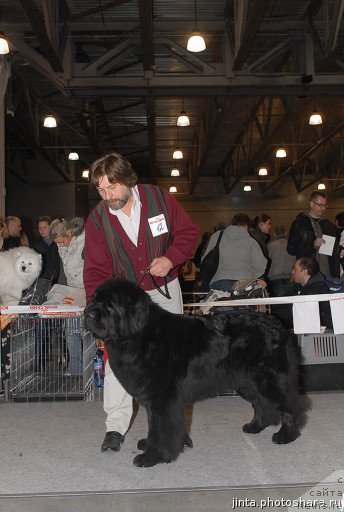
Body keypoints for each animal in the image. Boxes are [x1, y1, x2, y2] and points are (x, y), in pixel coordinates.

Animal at [84, 278, 308, 466]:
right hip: (247, 382)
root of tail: (278, 326)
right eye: (94, 300)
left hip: (268, 380)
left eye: (109, 306)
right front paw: (151, 446)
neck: (138, 335)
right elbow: (154, 425)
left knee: (290, 406)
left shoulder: (162, 399)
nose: (88, 313)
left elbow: (160, 428)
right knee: (262, 404)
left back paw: (286, 435)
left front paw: (153, 456)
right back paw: (255, 426)